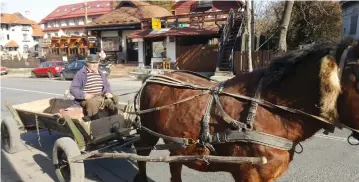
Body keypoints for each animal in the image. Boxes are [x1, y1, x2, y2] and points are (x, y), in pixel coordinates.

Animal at [132, 37, 359, 181]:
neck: (269, 112)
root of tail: (152, 76)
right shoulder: (249, 173)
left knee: (174, 161)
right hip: (148, 133)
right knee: (141, 151)